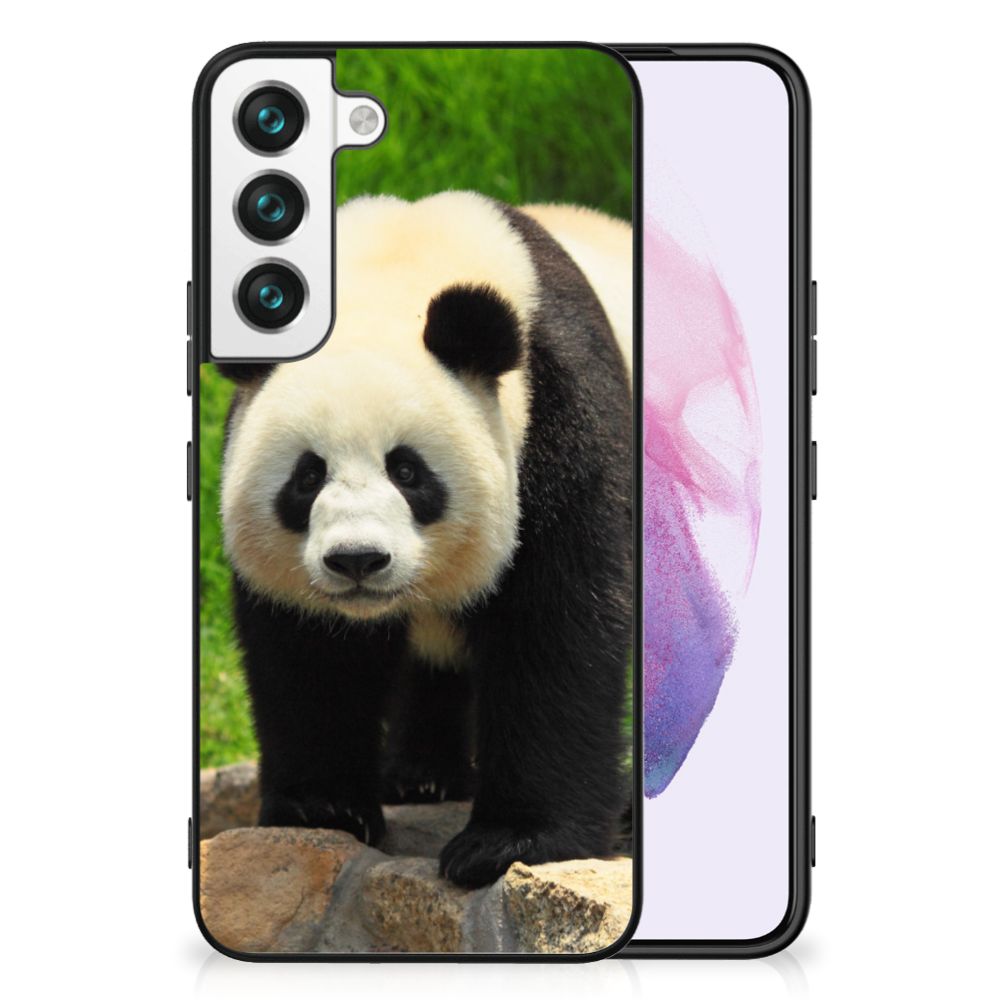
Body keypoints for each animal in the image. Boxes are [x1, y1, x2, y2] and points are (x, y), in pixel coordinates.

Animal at [217, 191, 632, 888]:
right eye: (307, 476)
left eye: (407, 471)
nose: (357, 560)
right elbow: (309, 654)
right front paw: (322, 808)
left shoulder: (561, 418)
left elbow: (559, 628)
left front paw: (510, 842)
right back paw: (421, 777)